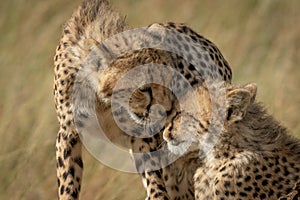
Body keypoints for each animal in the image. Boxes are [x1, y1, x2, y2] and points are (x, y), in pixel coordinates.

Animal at [53, 0, 232, 198]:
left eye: (169, 82)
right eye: (143, 88)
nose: (168, 111)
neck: (103, 102)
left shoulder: (143, 136)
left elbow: (153, 177)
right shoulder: (68, 132)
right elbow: (68, 182)